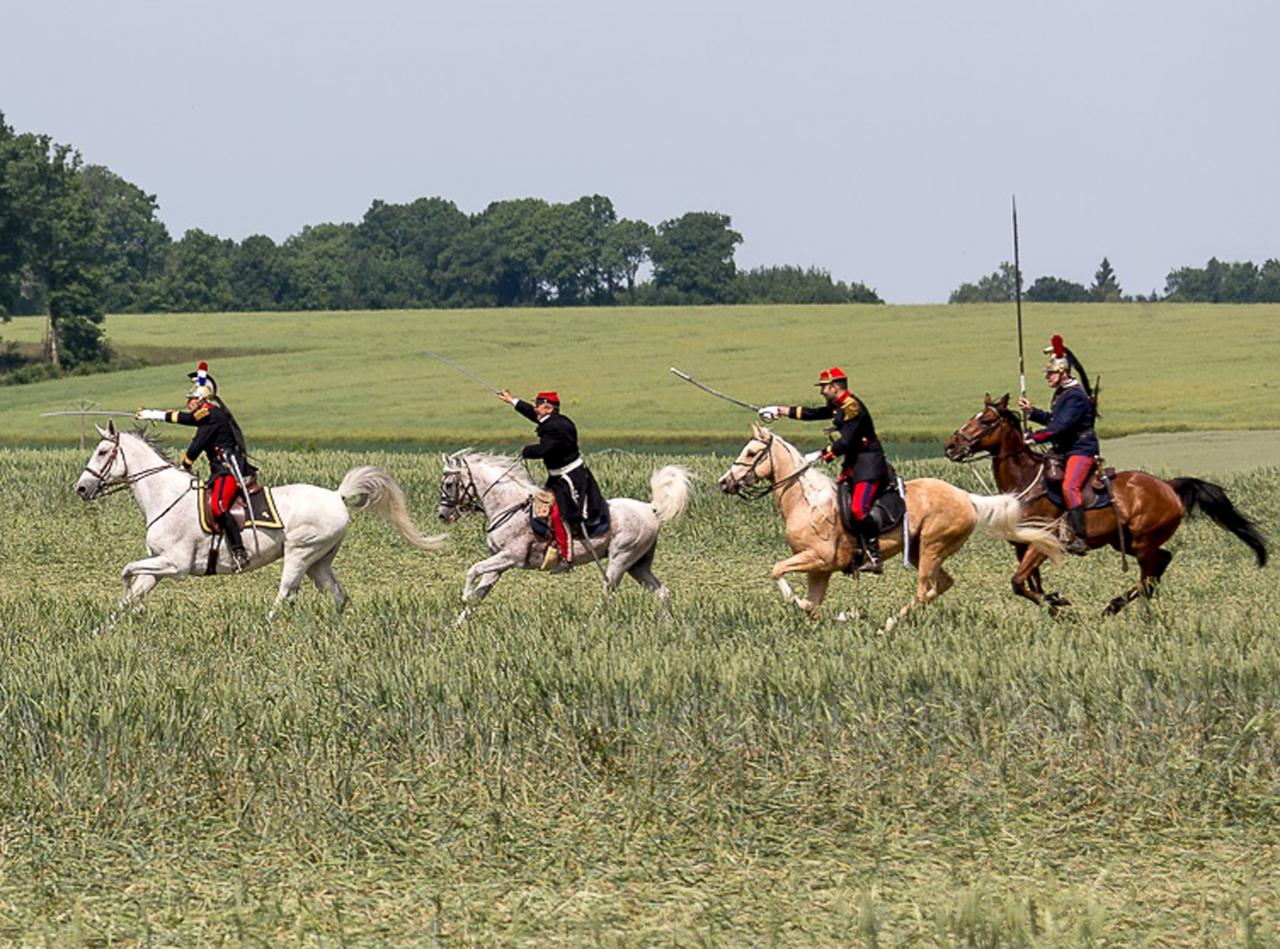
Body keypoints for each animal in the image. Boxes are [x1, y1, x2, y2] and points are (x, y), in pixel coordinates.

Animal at [435, 450, 691, 624]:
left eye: (449, 484)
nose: (442, 515)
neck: (509, 506)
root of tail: (651, 508)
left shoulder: (511, 557)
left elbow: (473, 570)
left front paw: (464, 596)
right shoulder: (499, 563)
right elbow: (480, 592)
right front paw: (456, 625)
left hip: (620, 559)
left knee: (608, 592)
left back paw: (590, 623)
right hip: (638, 565)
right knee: (662, 592)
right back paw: (667, 624)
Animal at [716, 422, 1064, 630]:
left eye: (751, 452)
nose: (724, 482)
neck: (807, 501)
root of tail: (967, 497)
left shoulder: (818, 559)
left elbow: (778, 572)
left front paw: (814, 605)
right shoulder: (820, 570)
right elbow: (812, 606)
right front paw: (843, 615)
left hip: (931, 547)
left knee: (924, 589)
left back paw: (889, 625)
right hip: (928, 551)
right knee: (942, 584)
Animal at [947, 391, 1264, 614]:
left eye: (986, 421)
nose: (951, 446)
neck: (1025, 481)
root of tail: (1168, 485)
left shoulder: (1042, 541)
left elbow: (1018, 582)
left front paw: (1061, 608)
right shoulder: (1021, 546)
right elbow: (1029, 583)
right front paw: (1056, 601)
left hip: (1142, 542)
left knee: (1149, 574)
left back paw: (1116, 605)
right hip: (1126, 542)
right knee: (1162, 562)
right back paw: (1119, 605)